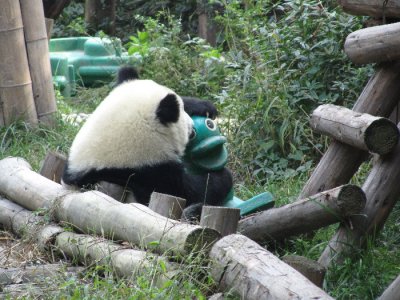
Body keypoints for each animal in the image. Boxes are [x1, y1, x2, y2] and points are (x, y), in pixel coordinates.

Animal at [61, 67, 233, 219]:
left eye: (184, 109)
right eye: (180, 119)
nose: (191, 127)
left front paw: (204, 106)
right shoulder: (146, 173)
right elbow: (187, 192)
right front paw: (223, 177)